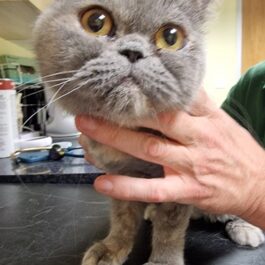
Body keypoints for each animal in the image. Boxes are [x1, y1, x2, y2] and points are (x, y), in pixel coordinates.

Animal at [34, 0, 262, 264]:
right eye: (96, 22)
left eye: (171, 37)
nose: (134, 51)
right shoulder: (120, 176)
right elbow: (122, 218)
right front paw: (111, 248)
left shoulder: (179, 182)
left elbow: (169, 229)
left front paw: (163, 261)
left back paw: (246, 228)